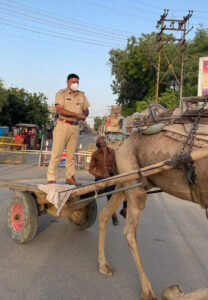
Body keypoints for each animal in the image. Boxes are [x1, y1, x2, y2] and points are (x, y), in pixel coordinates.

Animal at [97, 131, 208, 300]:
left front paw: (174, 292)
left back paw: (104, 266)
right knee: (129, 231)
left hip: (130, 180)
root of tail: (121, 146)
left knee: (105, 213)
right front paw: (173, 292)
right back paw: (147, 291)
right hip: (132, 174)